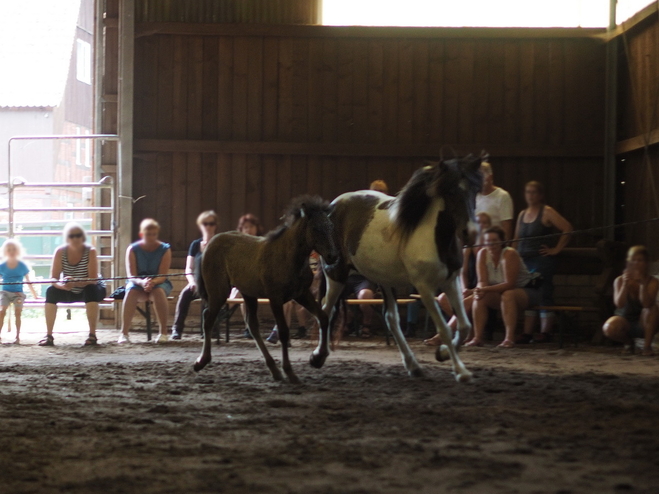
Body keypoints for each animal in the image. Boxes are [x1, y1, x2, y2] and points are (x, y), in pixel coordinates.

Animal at [195, 195, 340, 384]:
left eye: (331, 226)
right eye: (315, 228)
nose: (333, 256)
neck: (289, 257)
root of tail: (209, 244)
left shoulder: (301, 294)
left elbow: (322, 317)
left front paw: (317, 358)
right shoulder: (276, 299)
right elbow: (284, 332)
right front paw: (290, 372)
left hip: (248, 293)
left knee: (252, 324)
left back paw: (274, 370)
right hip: (219, 291)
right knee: (208, 318)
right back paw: (201, 361)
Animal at [312, 156, 482, 384]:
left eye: (475, 190)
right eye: (451, 191)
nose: (470, 232)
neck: (435, 239)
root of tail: (334, 206)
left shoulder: (451, 281)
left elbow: (464, 326)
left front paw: (443, 353)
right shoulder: (425, 288)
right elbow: (445, 329)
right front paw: (461, 371)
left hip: (384, 279)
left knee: (391, 319)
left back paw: (414, 366)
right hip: (336, 274)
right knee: (326, 311)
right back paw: (318, 357)